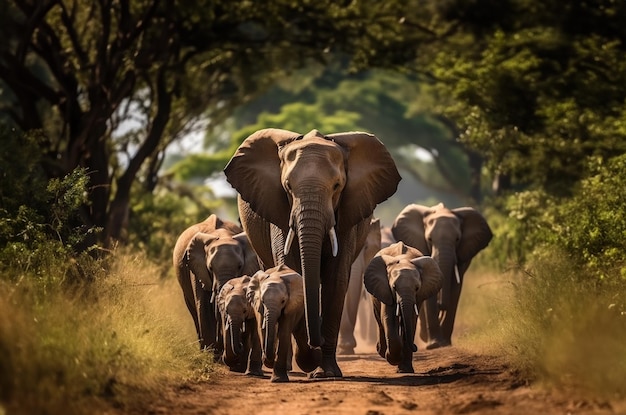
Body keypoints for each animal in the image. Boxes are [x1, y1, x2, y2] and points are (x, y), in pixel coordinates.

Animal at [172, 216, 260, 356]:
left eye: (239, 266)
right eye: (210, 268)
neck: (222, 235)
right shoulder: (197, 270)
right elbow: (204, 308)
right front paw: (211, 355)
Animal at [364, 240, 442, 374]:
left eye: (417, 288)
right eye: (394, 287)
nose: (415, 346)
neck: (404, 260)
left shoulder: (418, 296)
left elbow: (411, 318)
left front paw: (404, 369)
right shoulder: (385, 288)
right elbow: (387, 317)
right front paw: (393, 358)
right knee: (379, 320)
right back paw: (381, 351)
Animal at [390, 203, 492, 350]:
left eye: (457, 239)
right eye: (429, 239)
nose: (441, 305)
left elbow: (456, 287)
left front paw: (445, 343)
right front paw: (435, 344)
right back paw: (424, 336)